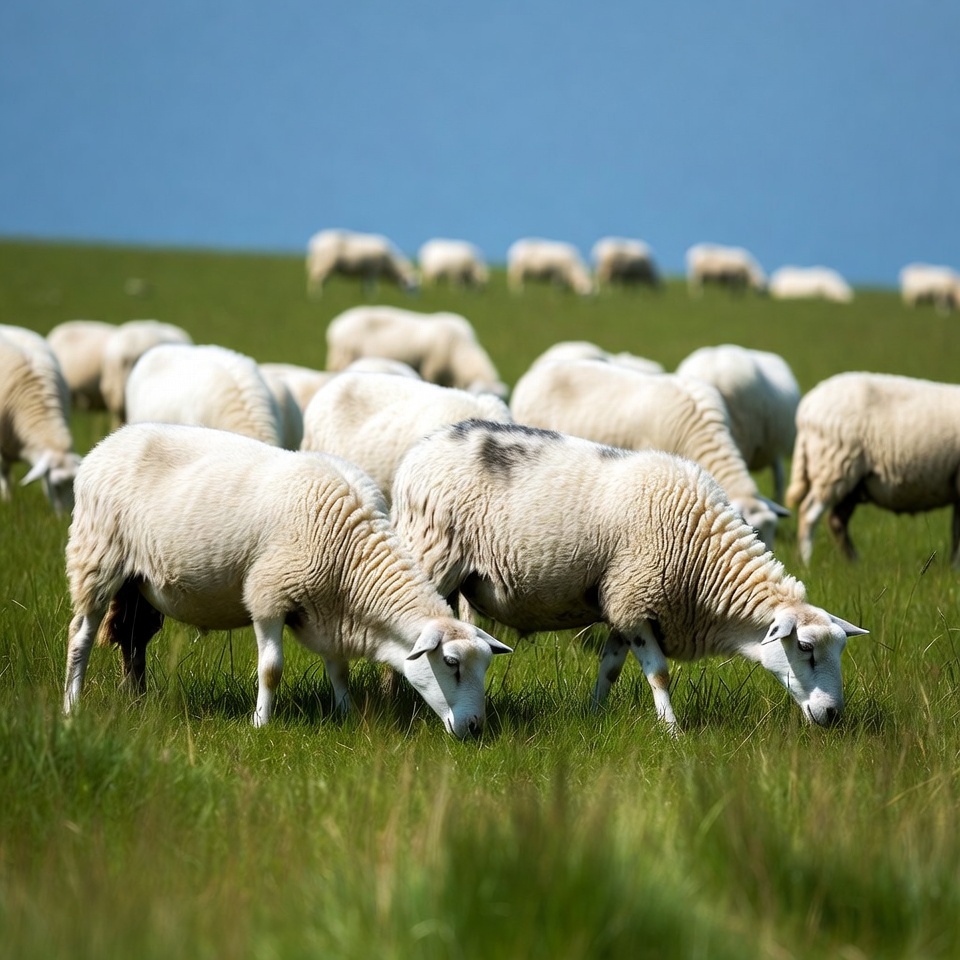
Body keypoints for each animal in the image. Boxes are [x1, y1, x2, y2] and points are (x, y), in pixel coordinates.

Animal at [62, 422, 512, 737]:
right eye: (451, 663)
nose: (475, 729)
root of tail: (108, 443)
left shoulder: (331, 611)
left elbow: (339, 669)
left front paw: (347, 715)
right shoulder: (268, 595)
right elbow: (271, 670)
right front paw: (261, 723)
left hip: (138, 582)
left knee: (133, 637)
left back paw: (135, 699)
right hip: (97, 557)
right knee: (81, 635)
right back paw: (71, 705)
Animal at [391, 420, 867, 731]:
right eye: (804, 648)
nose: (833, 715)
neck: (704, 559)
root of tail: (419, 451)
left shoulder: (620, 603)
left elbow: (610, 669)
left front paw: (594, 715)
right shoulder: (636, 600)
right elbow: (659, 673)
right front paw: (673, 732)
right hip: (430, 553)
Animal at [786, 371, 960, 565]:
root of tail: (806, 407)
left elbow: (956, 530)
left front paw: (954, 566)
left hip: (853, 481)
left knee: (837, 519)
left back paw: (854, 564)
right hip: (834, 464)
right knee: (809, 513)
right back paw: (805, 562)